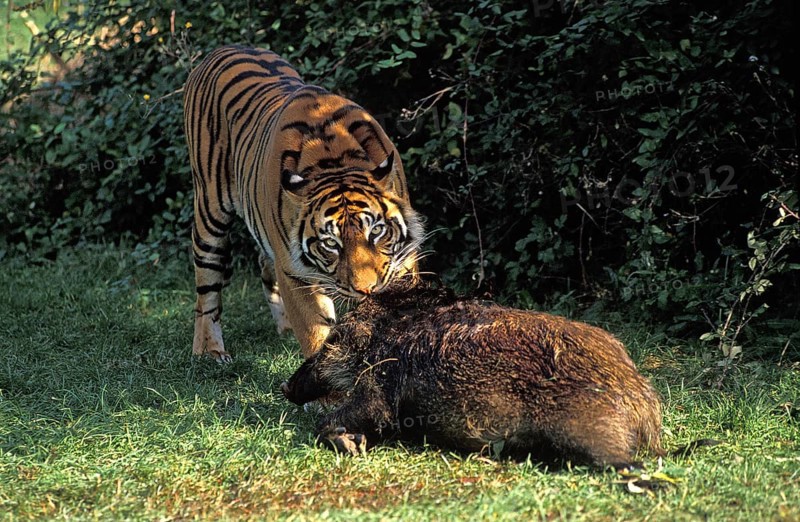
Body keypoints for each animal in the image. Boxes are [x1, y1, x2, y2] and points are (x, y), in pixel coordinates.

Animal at [183, 45, 424, 362]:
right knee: (207, 287)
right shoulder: (295, 273)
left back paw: (284, 330)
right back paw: (210, 350)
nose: (367, 290)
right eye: (331, 243)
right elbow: (317, 334)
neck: (334, 162)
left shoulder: (403, 261)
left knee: (263, 262)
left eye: (376, 232)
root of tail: (223, 48)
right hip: (210, 209)